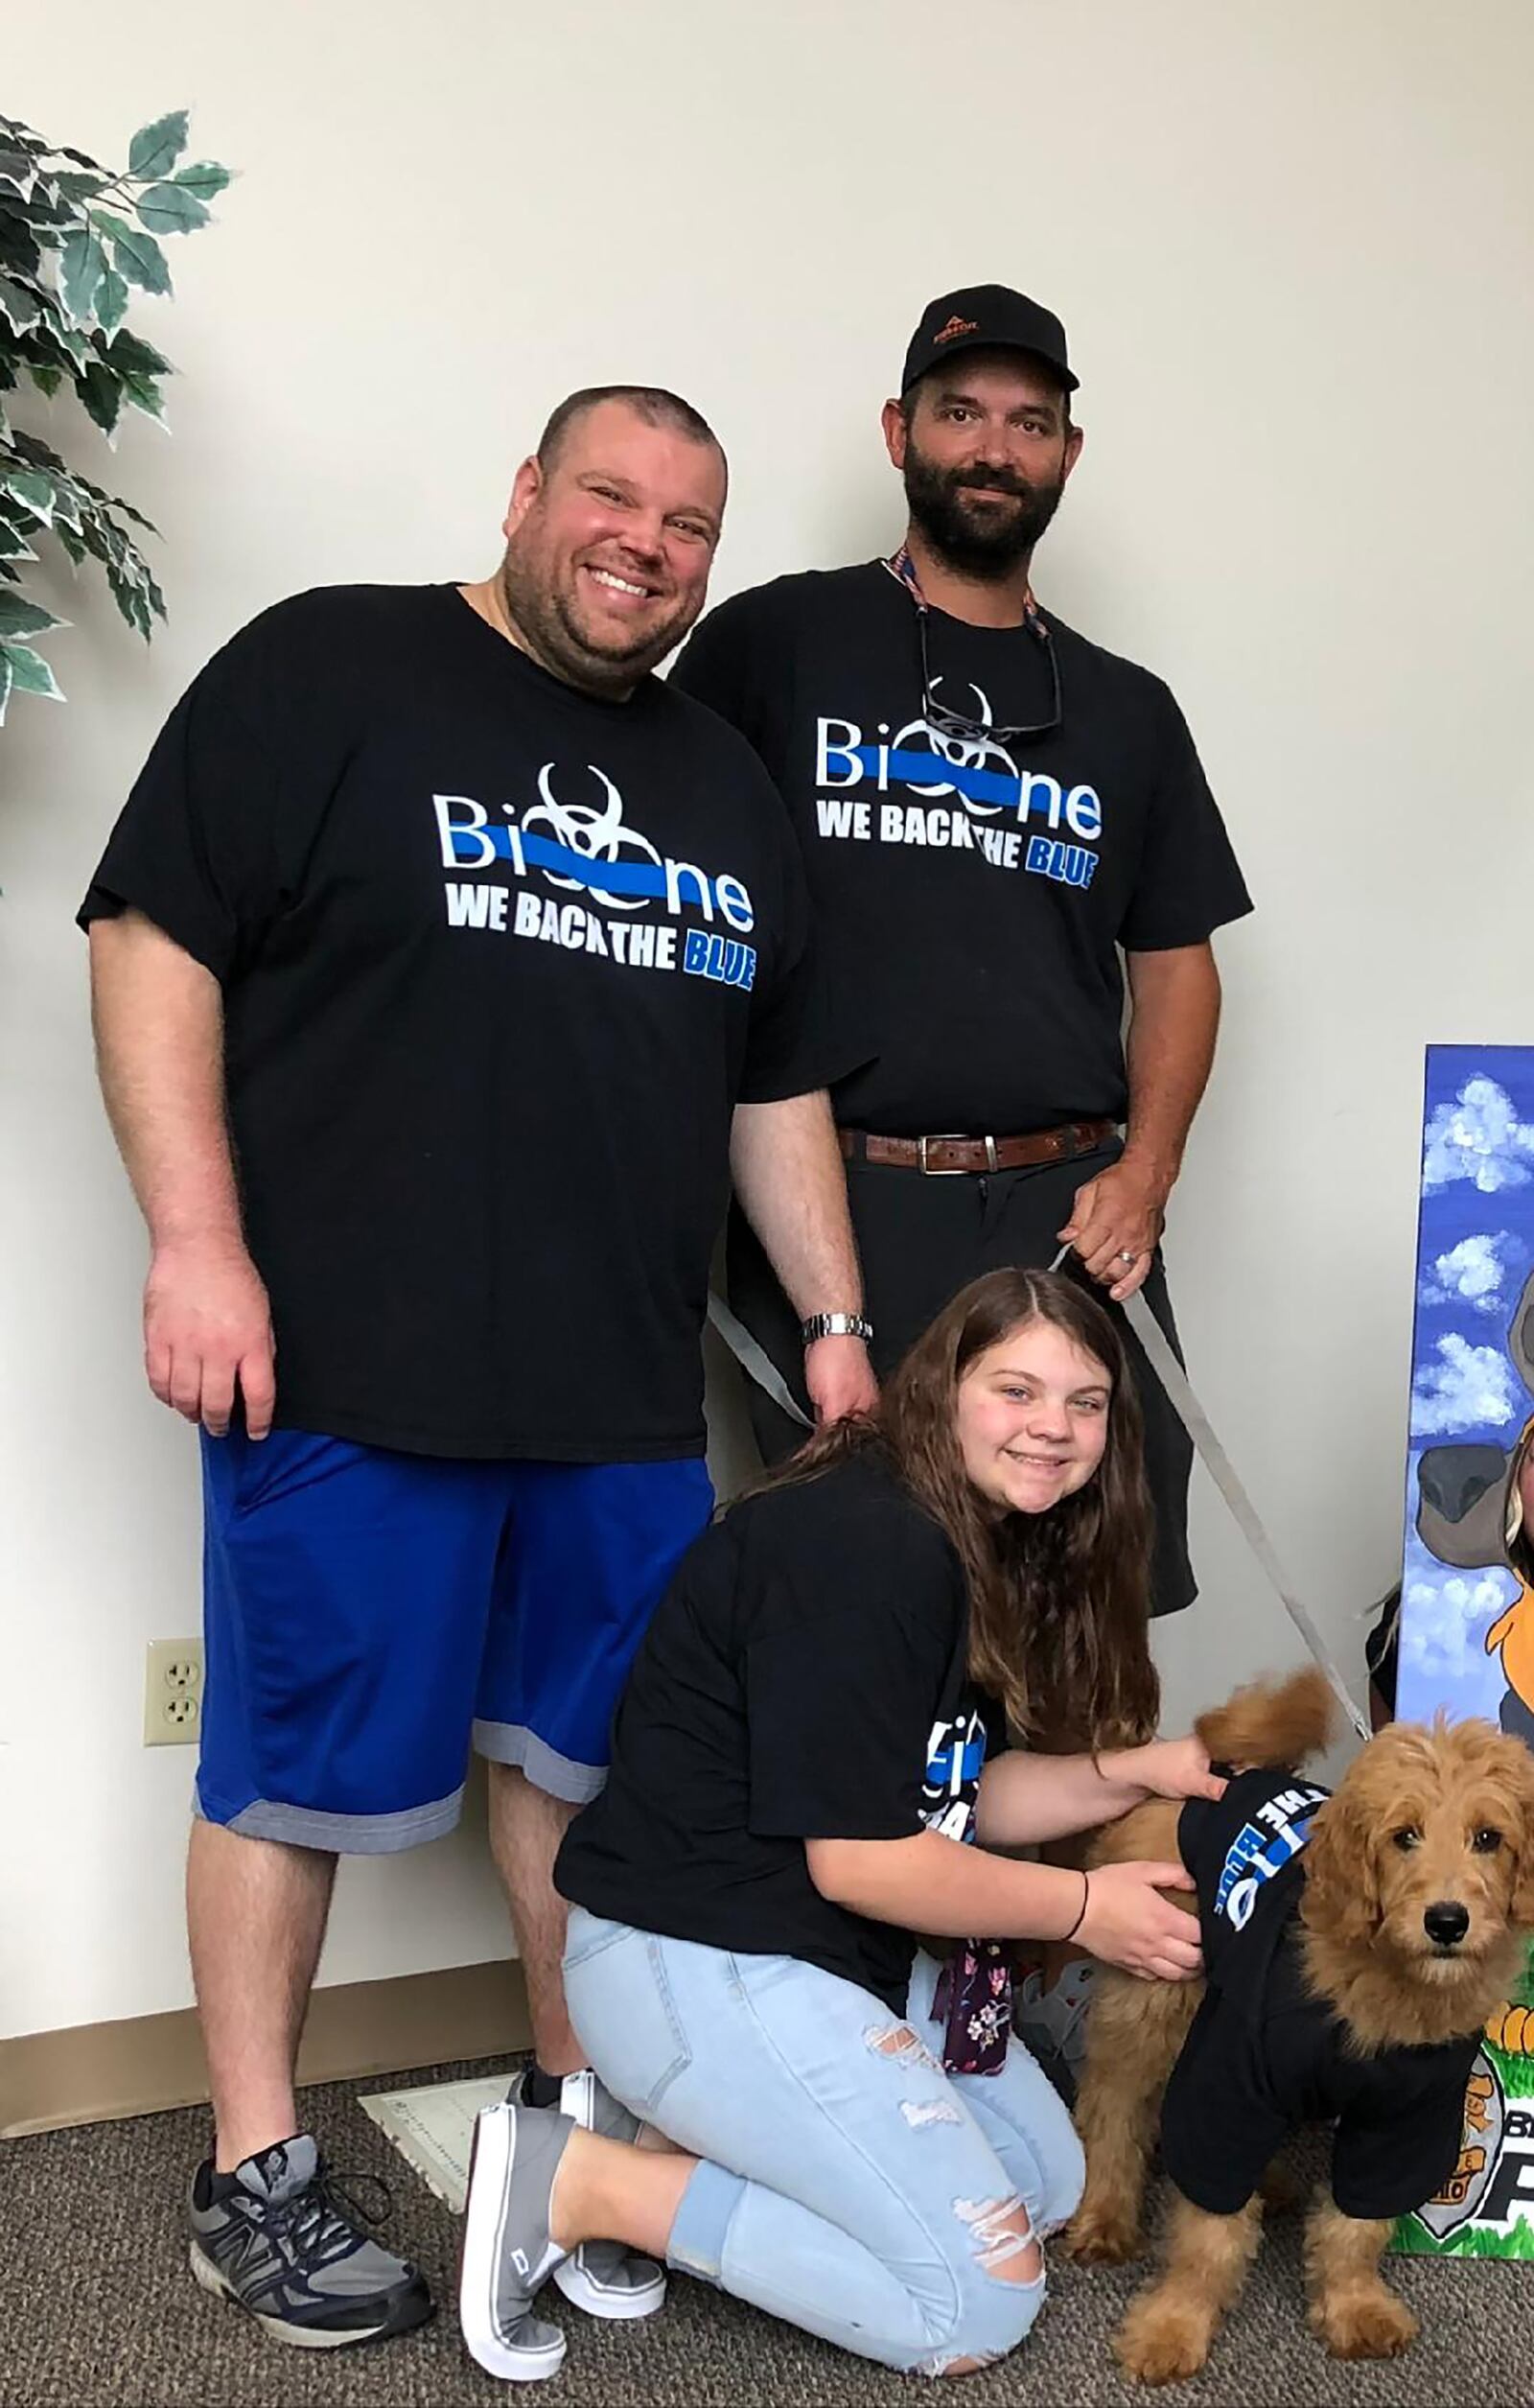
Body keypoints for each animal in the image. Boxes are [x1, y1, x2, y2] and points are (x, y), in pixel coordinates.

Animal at [1059, 1666, 1531, 2378]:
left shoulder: (1404, 2122)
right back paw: (1105, 2216)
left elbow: (1356, 2227)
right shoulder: (1232, 2082)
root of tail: (1227, 1773)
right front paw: (1173, 2325)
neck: (1376, 1993)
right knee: (1113, 2109)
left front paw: (1355, 2306)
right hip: (1154, 2003)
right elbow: (1206, 2236)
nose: (1447, 1921)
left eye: (1488, 1838)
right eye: (1405, 1836)